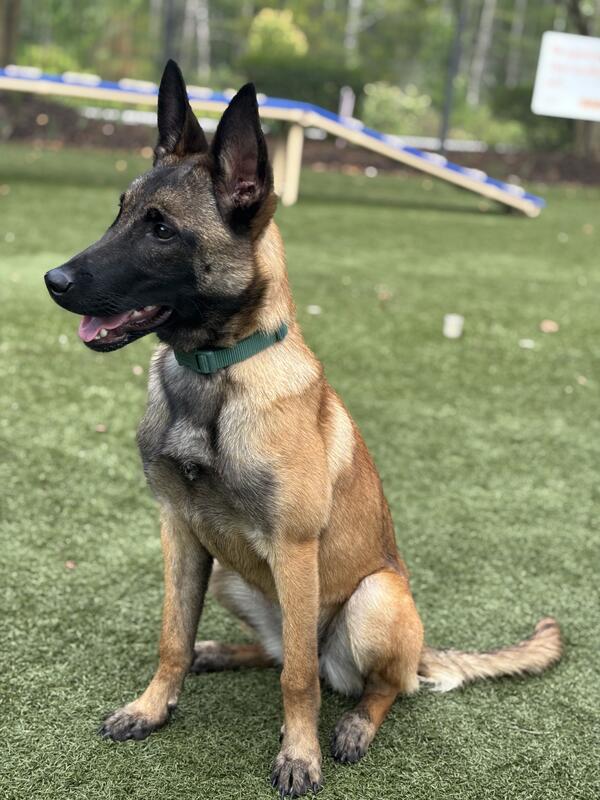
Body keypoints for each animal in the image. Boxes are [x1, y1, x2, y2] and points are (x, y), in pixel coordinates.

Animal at [45, 60, 562, 797]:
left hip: (373, 600)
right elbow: (172, 637)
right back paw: (220, 651)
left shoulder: (292, 548)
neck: (213, 376)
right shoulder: (179, 529)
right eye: (119, 212)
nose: (53, 280)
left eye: (161, 230)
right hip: (229, 574)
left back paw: (354, 727)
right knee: (278, 650)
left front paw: (300, 753)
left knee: (359, 681)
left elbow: (296, 682)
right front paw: (151, 707)